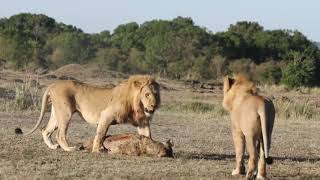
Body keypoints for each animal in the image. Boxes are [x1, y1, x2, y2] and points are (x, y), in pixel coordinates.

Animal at [18, 74, 161, 152]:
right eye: (147, 94)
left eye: (155, 94)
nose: (153, 106)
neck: (137, 105)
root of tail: (53, 85)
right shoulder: (106, 116)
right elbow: (100, 134)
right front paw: (97, 150)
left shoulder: (141, 121)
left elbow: (148, 135)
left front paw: (153, 147)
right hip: (65, 113)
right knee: (60, 134)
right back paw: (70, 149)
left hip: (56, 113)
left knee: (45, 130)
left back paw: (53, 147)